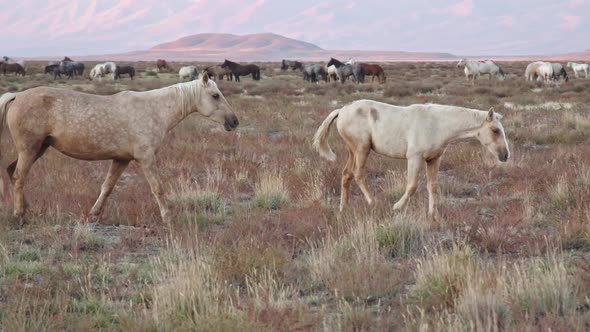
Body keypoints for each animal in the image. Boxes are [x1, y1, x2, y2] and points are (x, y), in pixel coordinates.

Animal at [0, 74, 242, 226]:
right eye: (215, 95)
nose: (234, 121)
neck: (155, 109)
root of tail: (16, 96)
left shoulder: (120, 160)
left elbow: (107, 187)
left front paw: (93, 214)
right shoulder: (146, 159)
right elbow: (157, 188)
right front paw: (168, 218)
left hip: (37, 149)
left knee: (12, 172)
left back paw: (25, 208)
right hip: (29, 150)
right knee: (19, 177)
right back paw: (20, 215)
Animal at [314, 99, 512, 218]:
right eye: (495, 130)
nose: (505, 155)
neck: (438, 124)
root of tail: (342, 110)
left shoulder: (434, 159)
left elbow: (432, 186)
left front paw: (432, 213)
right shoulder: (414, 158)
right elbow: (412, 186)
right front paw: (397, 207)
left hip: (353, 151)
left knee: (346, 174)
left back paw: (343, 208)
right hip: (362, 150)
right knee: (358, 174)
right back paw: (372, 202)